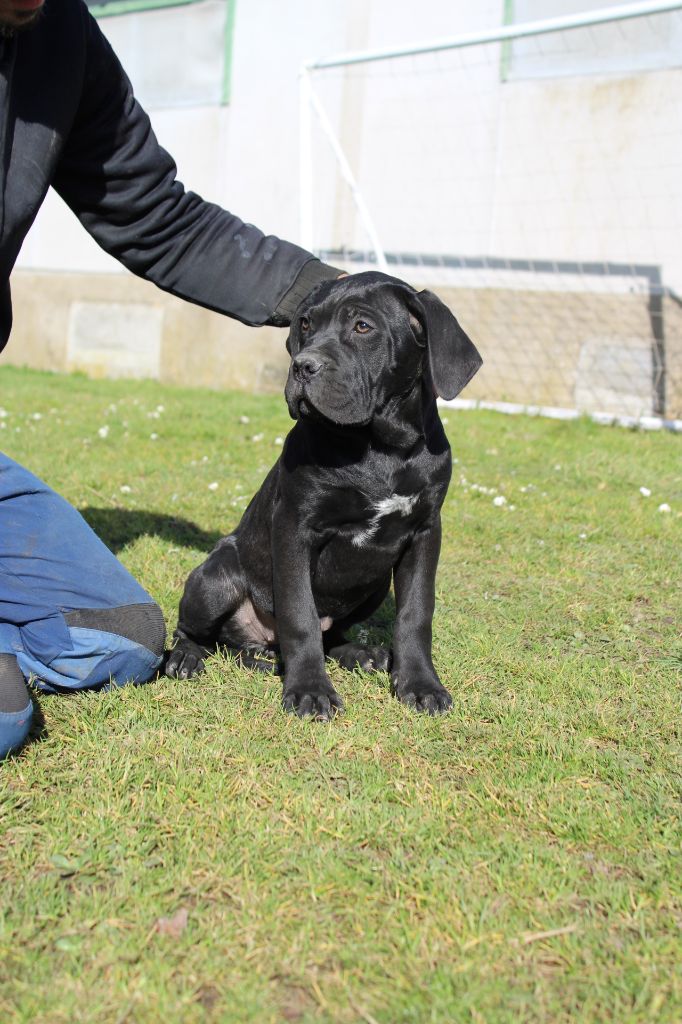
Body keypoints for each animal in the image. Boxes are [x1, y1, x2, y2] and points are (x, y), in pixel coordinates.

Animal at [165, 272, 477, 720]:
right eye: (306, 325)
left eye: (362, 327)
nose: (302, 366)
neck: (379, 446)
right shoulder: (295, 528)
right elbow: (300, 616)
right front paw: (310, 690)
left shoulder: (424, 531)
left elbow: (417, 614)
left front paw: (420, 684)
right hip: (215, 578)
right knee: (196, 632)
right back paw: (187, 657)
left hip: (374, 584)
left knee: (330, 632)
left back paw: (356, 653)